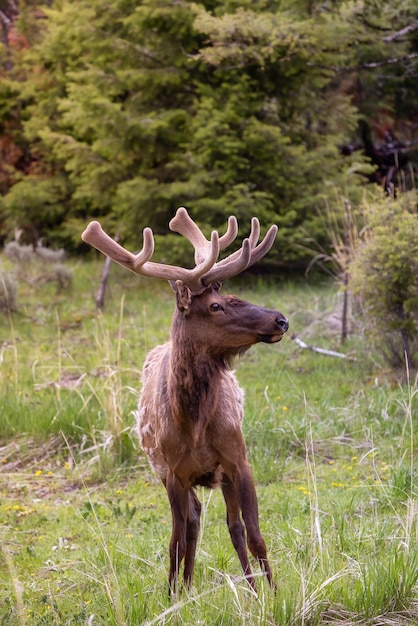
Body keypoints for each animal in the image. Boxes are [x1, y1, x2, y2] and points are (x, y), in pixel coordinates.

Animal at [81, 207, 288, 592]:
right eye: (216, 305)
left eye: (234, 295)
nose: (280, 320)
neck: (193, 424)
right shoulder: (174, 473)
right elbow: (176, 539)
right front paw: (172, 594)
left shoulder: (237, 459)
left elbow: (255, 535)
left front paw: (272, 592)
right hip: (168, 474)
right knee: (192, 523)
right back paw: (187, 586)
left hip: (220, 475)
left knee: (231, 526)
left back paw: (247, 586)